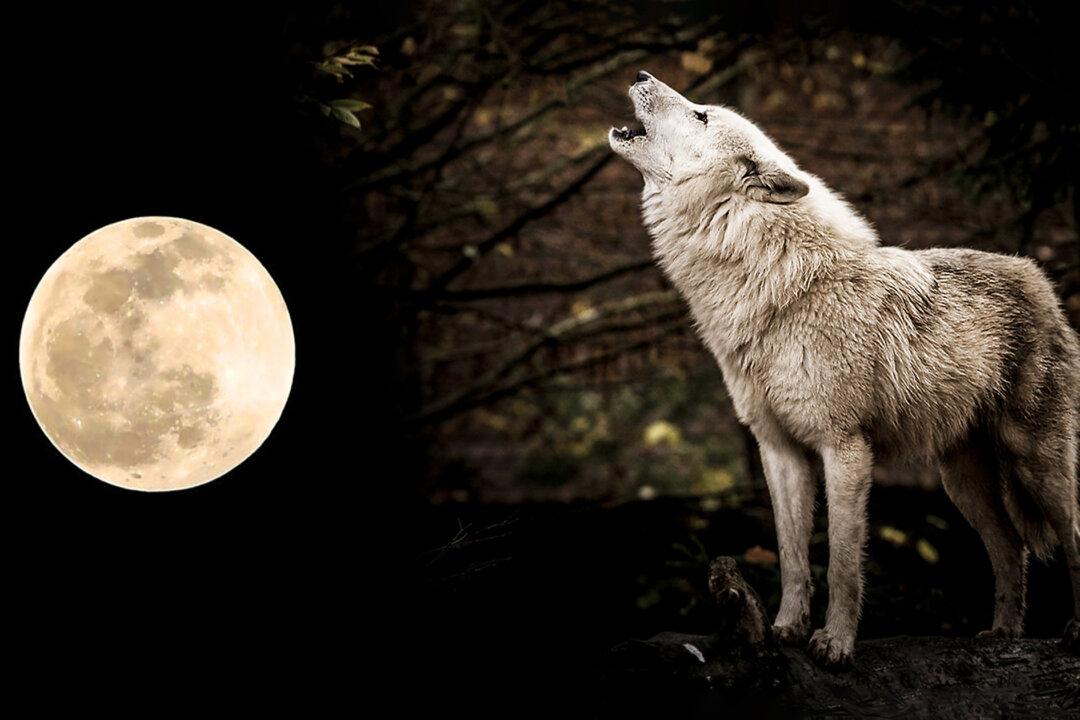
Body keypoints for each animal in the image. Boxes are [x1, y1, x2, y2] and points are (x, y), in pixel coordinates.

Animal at [609, 70, 1080, 666]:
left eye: (701, 115)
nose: (641, 75)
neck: (773, 285)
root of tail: (1038, 278)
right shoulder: (778, 450)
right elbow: (791, 556)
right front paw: (783, 630)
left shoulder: (845, 447)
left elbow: (841, 562)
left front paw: (834, 643)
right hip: (961, 482)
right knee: (1011, 547)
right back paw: (1003, 633)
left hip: (1039, 465)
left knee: (1071, 538)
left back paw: (1073, 631)